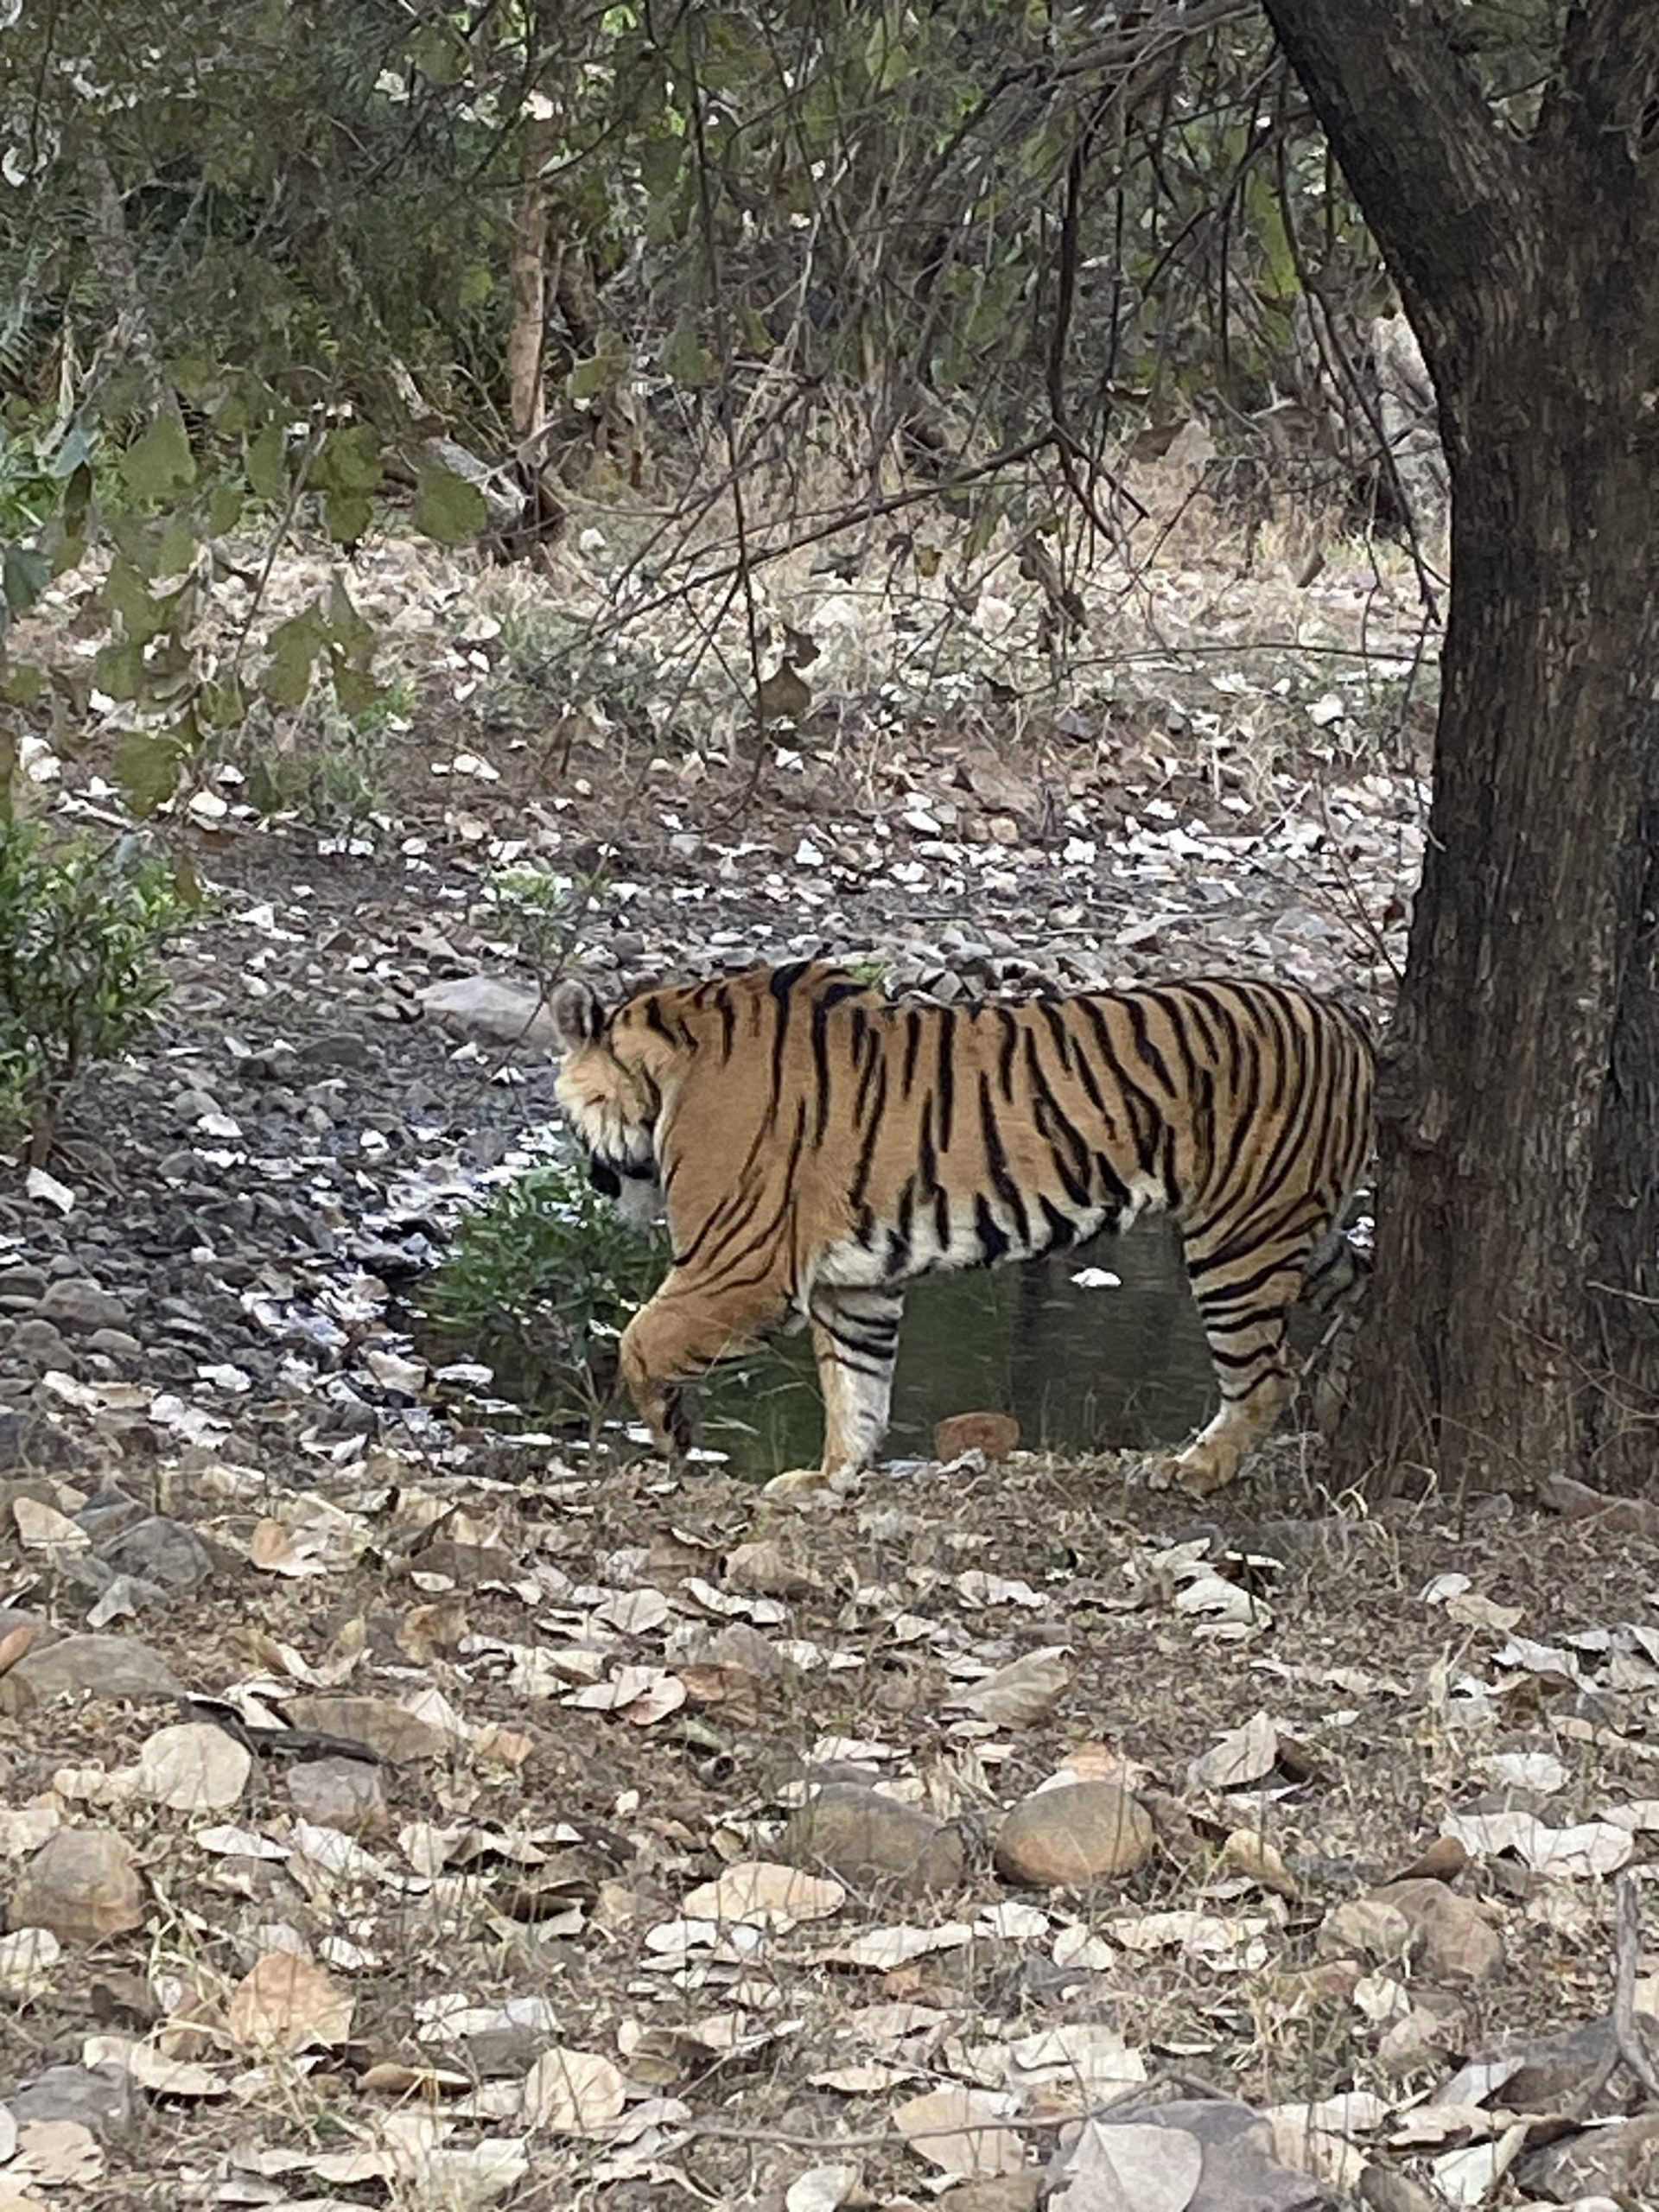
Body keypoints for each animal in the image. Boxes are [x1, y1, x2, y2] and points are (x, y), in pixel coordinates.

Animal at [551, 958, 1374, 1496]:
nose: (591, 1179)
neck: (667, 1071)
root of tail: (1343, 1020)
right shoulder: (858, 1286)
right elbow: (856, 1387)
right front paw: (829, 1480)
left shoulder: (738, 1266)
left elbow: (640, 1340)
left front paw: (671, 1439)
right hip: (1300, 1229)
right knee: (1362, 1290)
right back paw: (1340, 1409)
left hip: (1238, 1240)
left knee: (1265, 1375)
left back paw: (1193, 1469)